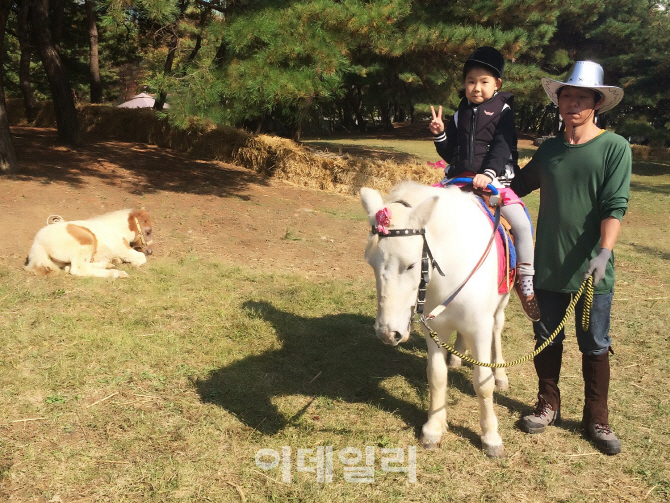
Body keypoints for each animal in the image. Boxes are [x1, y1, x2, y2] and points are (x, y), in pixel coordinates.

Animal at [364, 180, 512, 456]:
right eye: (371, 263)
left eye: (411, 265)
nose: (387, 333)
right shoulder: (434, 328)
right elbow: (436, 375)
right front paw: (433, 428)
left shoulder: (480, 328)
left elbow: (483, 383)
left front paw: (491, 437)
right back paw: (456, 357)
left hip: (501, 305)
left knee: (498, 331)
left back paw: (500, 375)